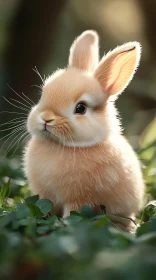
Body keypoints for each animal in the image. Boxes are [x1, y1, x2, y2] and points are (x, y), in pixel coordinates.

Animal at [23, 30, 144, 230]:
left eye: (80, 108)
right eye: (43, 94)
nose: (46, 118)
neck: (63, 146)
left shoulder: (79, 199)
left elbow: (73, 212)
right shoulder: (45, 195)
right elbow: (44, 206)